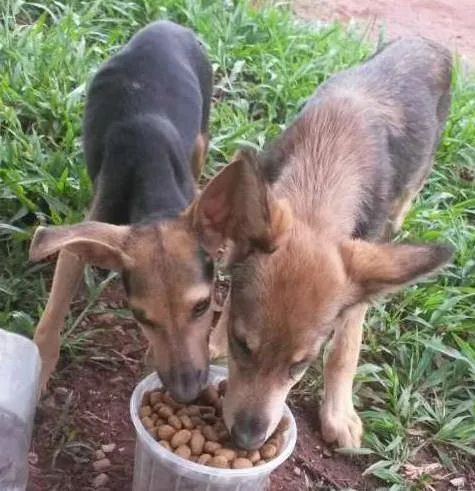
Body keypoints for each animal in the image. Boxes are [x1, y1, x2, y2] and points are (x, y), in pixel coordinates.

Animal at [28, 20, 215, 404]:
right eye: (141, 317)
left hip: (202, 134)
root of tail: (167, 23)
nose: (186, 393)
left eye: (202, 306)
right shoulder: (82, 236)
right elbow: (52, 315)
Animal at [192, 38, 454, 450]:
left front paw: (338, 412)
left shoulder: (360, 279)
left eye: (300, 364)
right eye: (242, 344)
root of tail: (429, 43)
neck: (325, 164)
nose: (248, 440)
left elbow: (345, 350)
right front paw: (215, 341)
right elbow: (233, 289)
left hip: (418, 174)